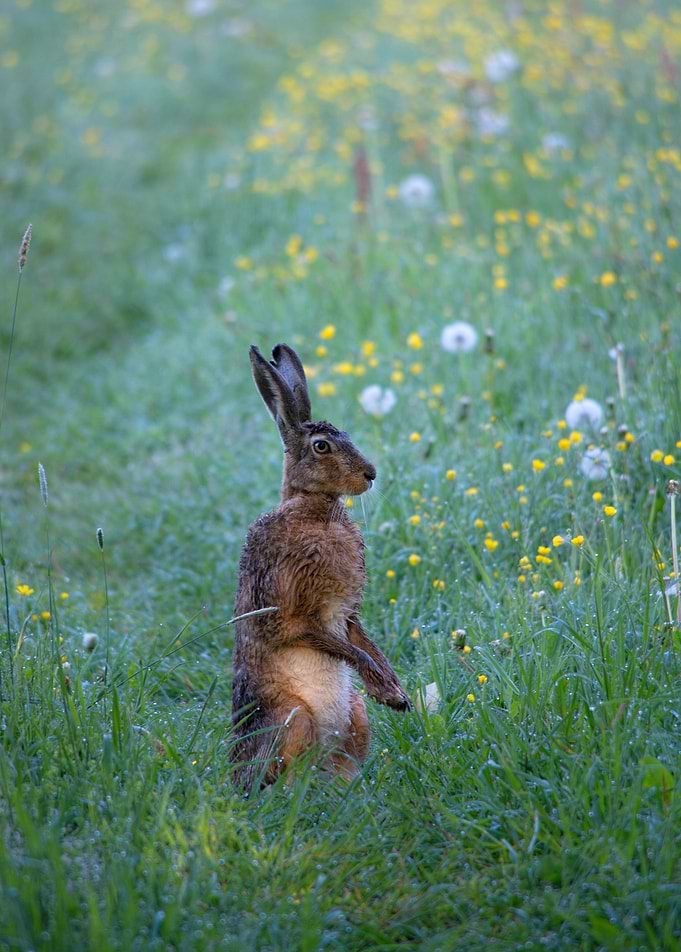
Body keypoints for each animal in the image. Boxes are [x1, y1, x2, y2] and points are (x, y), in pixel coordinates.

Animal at [230, 342, 411, 791]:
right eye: (322, 446)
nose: (371, 474)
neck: (315, 510)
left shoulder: (346, 614)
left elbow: (361, 640)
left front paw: (395, 694)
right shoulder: (291, 613)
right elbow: (339, 645)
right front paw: (388, 691)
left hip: (355, 716)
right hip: (294, 720)